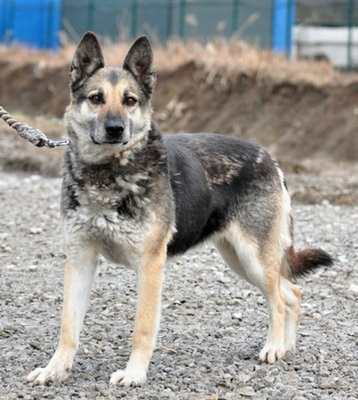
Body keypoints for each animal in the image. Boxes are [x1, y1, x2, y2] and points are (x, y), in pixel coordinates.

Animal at [26, 32, 334, 386]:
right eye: (96, 98)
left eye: (129, 100)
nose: (116, 128)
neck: (108, 173)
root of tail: (268, 156)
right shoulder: (80, 260)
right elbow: (68, 327)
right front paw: (55, 369)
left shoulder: (150, 265)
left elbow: (143, 327)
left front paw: (134, 374)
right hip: (238, 259)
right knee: (292, 292)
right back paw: (287, 346)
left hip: (253, 259)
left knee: (279, 300)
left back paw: (273, 347)